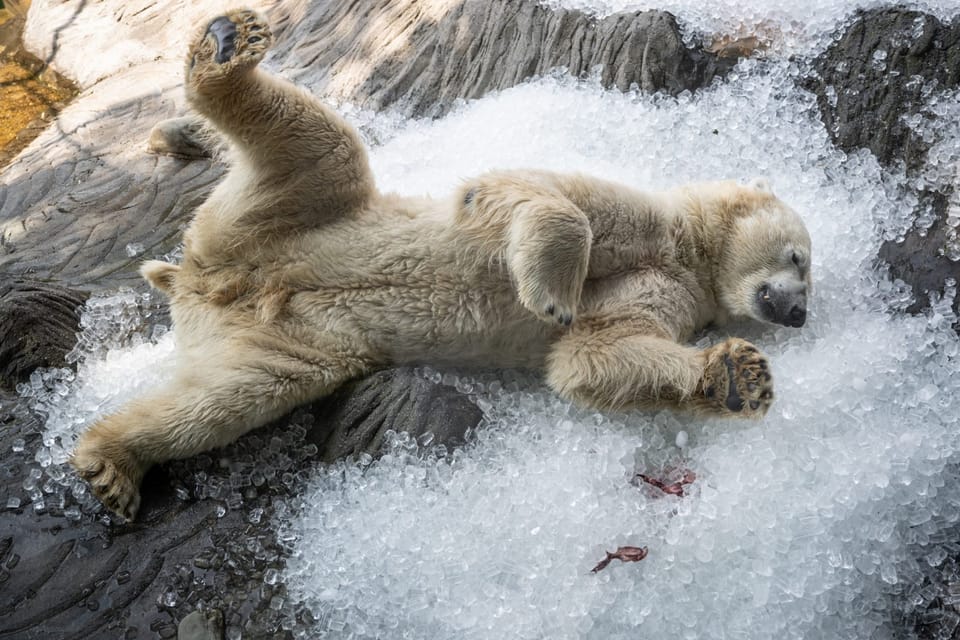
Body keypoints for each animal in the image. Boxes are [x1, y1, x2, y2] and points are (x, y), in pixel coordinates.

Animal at [71, 8, 812, 520]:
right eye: (800, 257)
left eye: (806, 276)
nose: (800, 312)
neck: (687, 251)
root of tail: (201, 281)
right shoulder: (640, 215)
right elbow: (527, 194)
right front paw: (550, 290)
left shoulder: (674, 295)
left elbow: (593, 357)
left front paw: (740, 378)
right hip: (289, 218)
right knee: (323, 147)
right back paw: (227, 47)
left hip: (292, 333)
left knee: (229, 396)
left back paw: (113, 463)